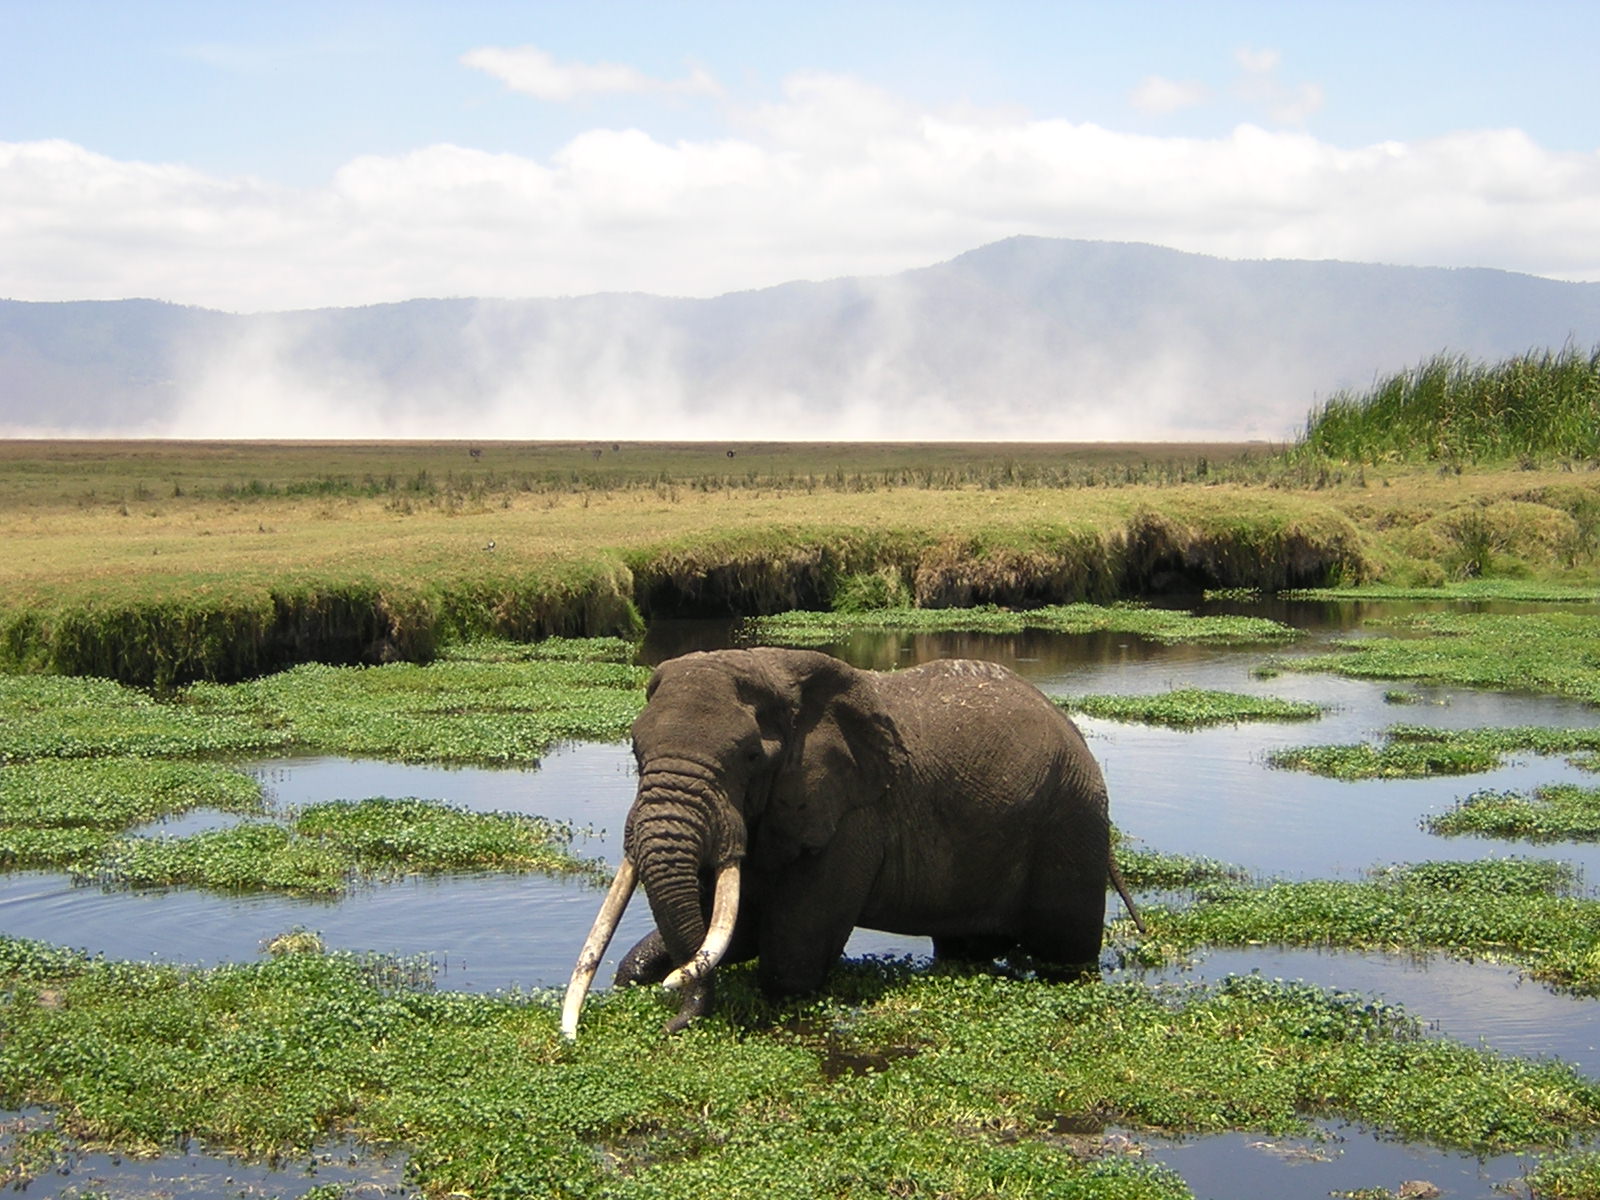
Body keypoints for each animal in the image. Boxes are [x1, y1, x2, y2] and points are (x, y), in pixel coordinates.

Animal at [560, 649, 1139, 1043]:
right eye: (636, 751)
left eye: (750, 756)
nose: (673, 1027)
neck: (776, 673)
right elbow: (734, 928)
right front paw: (639, 975)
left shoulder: (852, 817)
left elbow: (785, 956)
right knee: (964, 946)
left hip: (1072, 818)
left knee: (1065, 950)